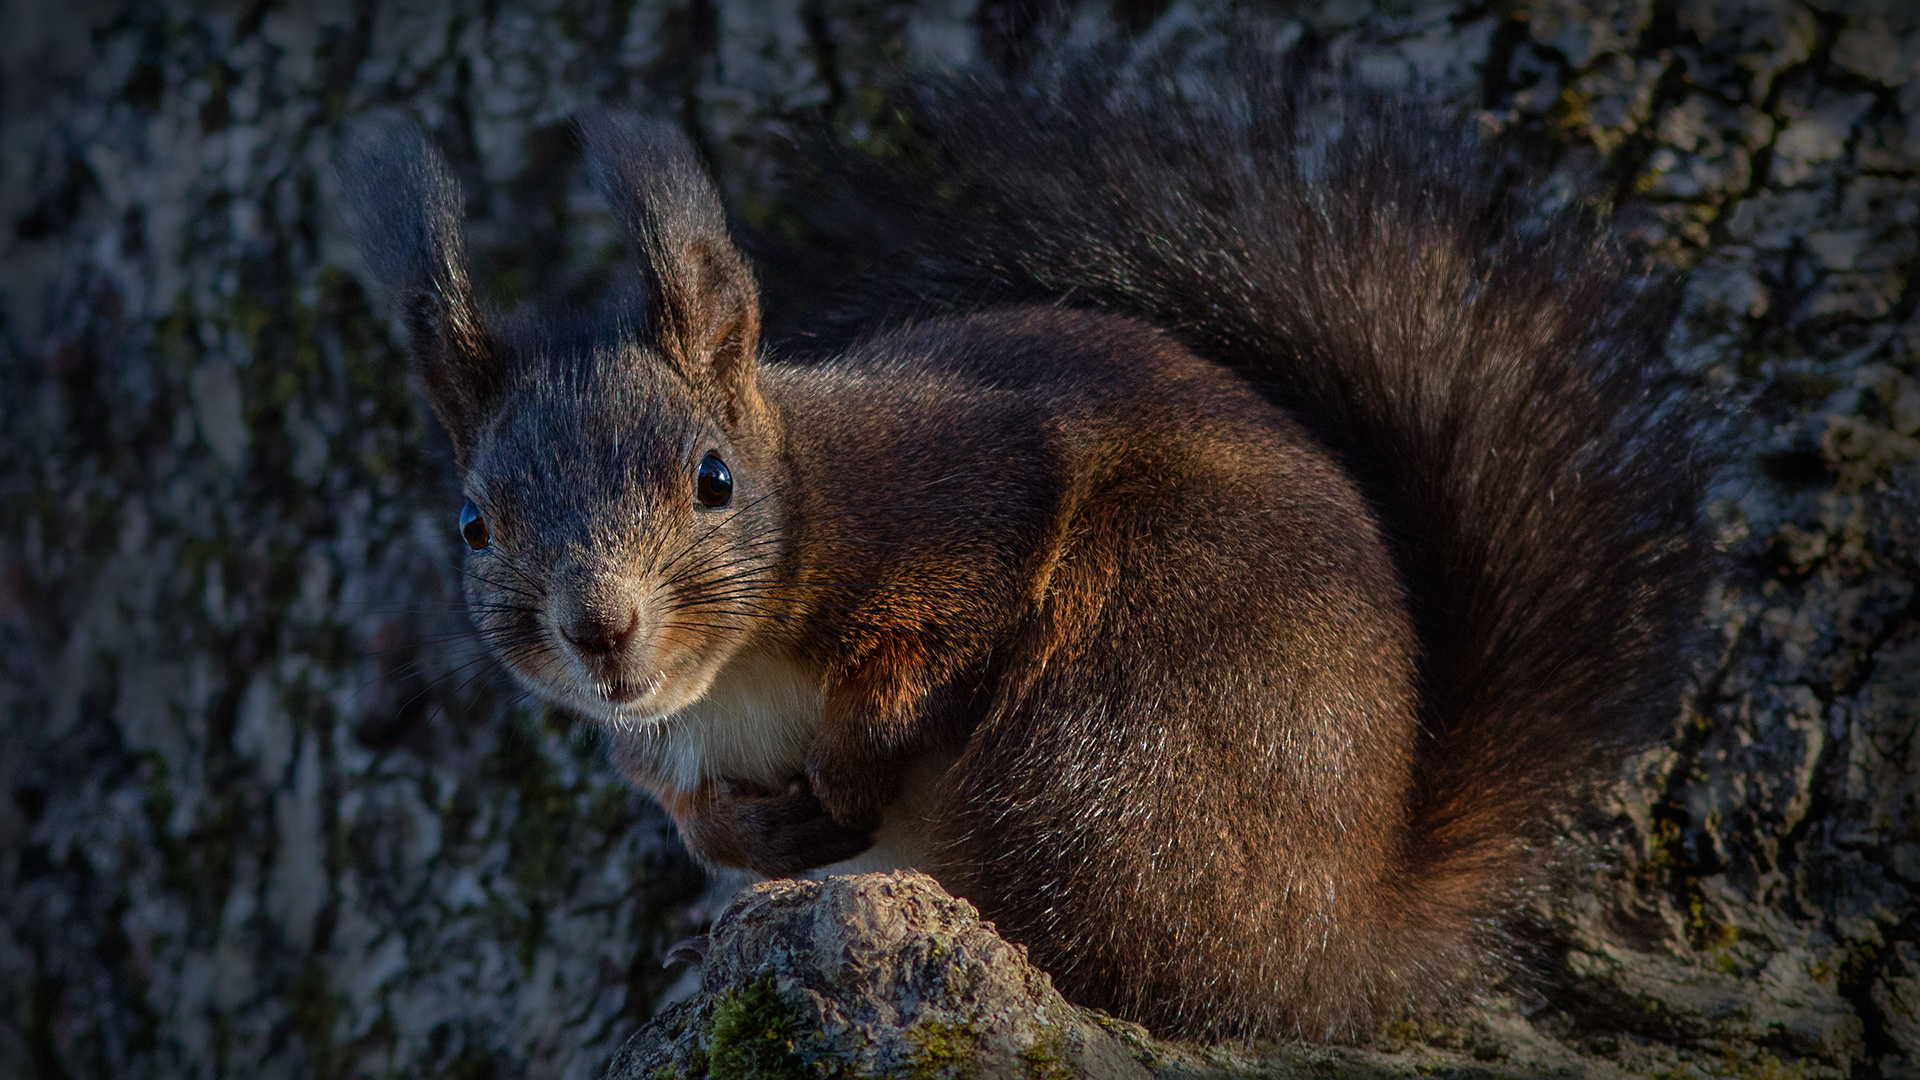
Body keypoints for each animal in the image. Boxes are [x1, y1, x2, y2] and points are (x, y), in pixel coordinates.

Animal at [345, 54, 1712, 1037]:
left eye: (714, 480)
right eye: (474, 523)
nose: (601, 627)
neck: (736, 675)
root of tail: (1346, 938)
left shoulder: (972, 497)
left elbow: (942, 643)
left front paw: (846, 770)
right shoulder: (659, 736)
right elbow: (684, 808)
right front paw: (747, 847)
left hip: (1127, 729)